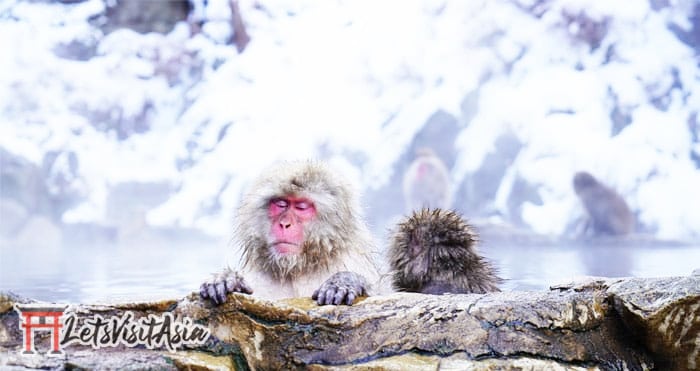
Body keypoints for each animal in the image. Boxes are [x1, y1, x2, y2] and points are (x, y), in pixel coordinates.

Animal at [200, 161, 380, 306]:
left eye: (301, 206)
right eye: (281, 203)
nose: (285, 224)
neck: (297, 268)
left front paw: (344, 281)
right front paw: (227, 278)